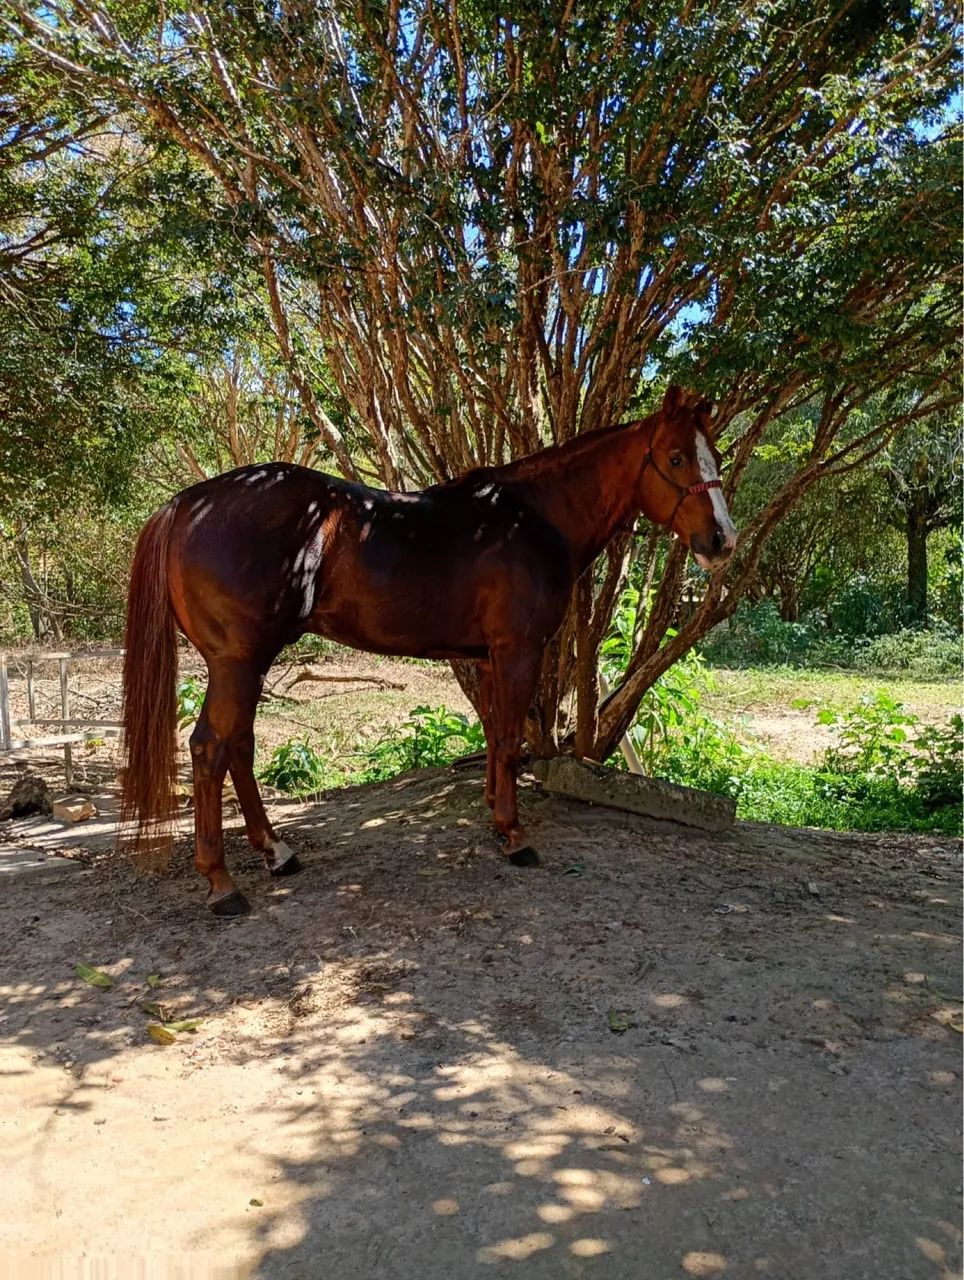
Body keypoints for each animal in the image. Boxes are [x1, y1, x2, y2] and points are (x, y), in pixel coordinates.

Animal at [120, 384, 737, 915]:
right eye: (676, 458)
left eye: (716, 457)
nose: (722, 541)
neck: (535, 517)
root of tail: (186, 504)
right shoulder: (518, 651)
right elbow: (508, 741)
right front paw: (515, 836)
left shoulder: (488, 657)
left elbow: (492, 733)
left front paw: (493, 815)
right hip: (237, 662)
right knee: (210, 750)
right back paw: (222, 884)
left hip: (246, 663)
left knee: (239, 748)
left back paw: (277, 853)